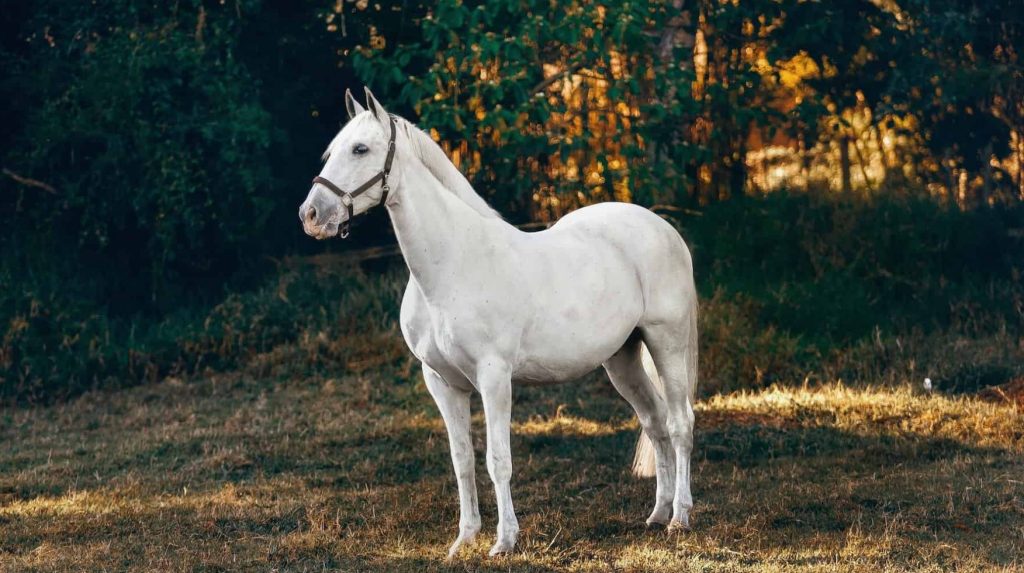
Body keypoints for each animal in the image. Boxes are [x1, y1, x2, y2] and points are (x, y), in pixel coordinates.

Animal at [299, 88, 698, 558]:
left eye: (360, 149)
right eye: (332, 151)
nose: (311, 215)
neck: (452, 264)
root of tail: (663, 228)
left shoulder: (494, 378)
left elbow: (498, 461)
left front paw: (504, 540)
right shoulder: (442, 382)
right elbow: (462, 461)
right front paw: (464, 538)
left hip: (666, 342)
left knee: (679, 423)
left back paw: (679, 517)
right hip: (622, 359)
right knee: (654, 422)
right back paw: (656, 514)